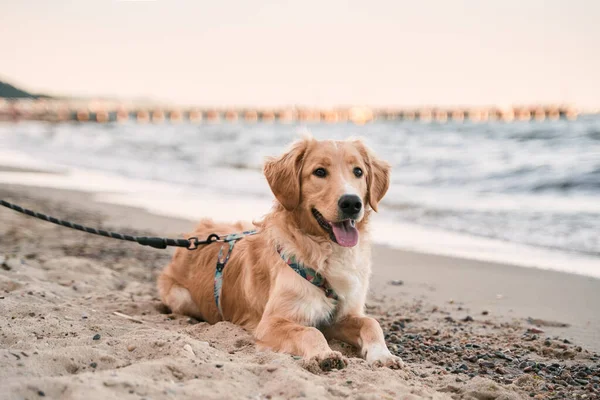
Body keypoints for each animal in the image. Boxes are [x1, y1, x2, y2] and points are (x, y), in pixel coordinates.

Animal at [159, 135, 404, 372]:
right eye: (320, 172)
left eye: (358, 172)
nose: (352, 202)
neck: (326, 252)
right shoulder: (271, 323)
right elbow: (310, 332)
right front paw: (324, 355)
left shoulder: (339, 316)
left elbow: (371, 323)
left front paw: (383, 355)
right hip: (182, 298)